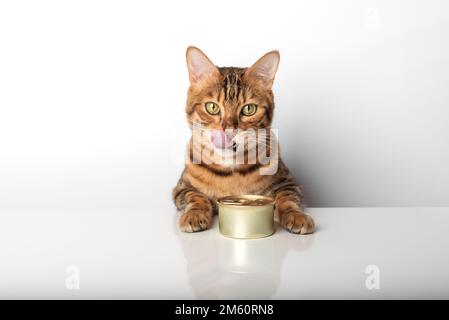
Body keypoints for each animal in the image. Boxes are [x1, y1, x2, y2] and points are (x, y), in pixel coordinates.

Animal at [172, 45, 316, 235]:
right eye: (212, 107)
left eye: (249, 109)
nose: (229, 131)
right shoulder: (181, 187)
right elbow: (195, 196)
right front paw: (194, 214)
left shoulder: (288, 182)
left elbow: (287, 198)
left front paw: (296, 216)